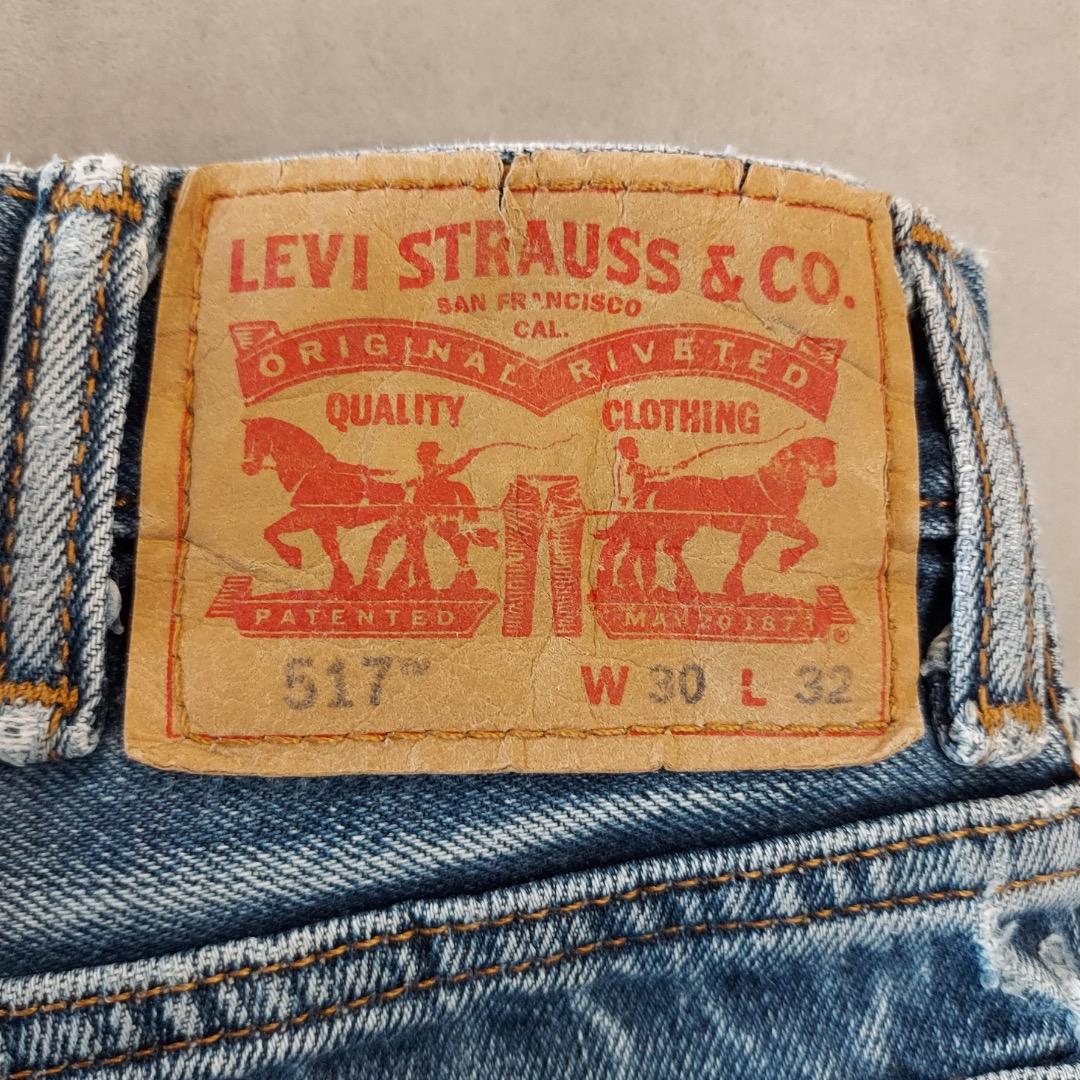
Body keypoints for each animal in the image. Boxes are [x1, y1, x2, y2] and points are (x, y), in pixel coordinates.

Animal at [242, 417, 410, 593]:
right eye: (245, 441)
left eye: (256, 439)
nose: (247, 468)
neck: (311, 470)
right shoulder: (317, 522)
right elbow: (274, 531)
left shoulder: (314, 517)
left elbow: (329, 548)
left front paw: (294, 557)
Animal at [594, 437, 837, 598]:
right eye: (818, 456)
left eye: (833, 458)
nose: (831, 480)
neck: (773, 486)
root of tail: (662, 485)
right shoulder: (756, 526)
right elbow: (745, 554)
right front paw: (735, 588)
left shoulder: (780, 523)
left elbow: (811, 538)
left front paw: (786, 559)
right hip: (677, 523)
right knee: (649, 545)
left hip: (683, 526)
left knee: (657, 547)